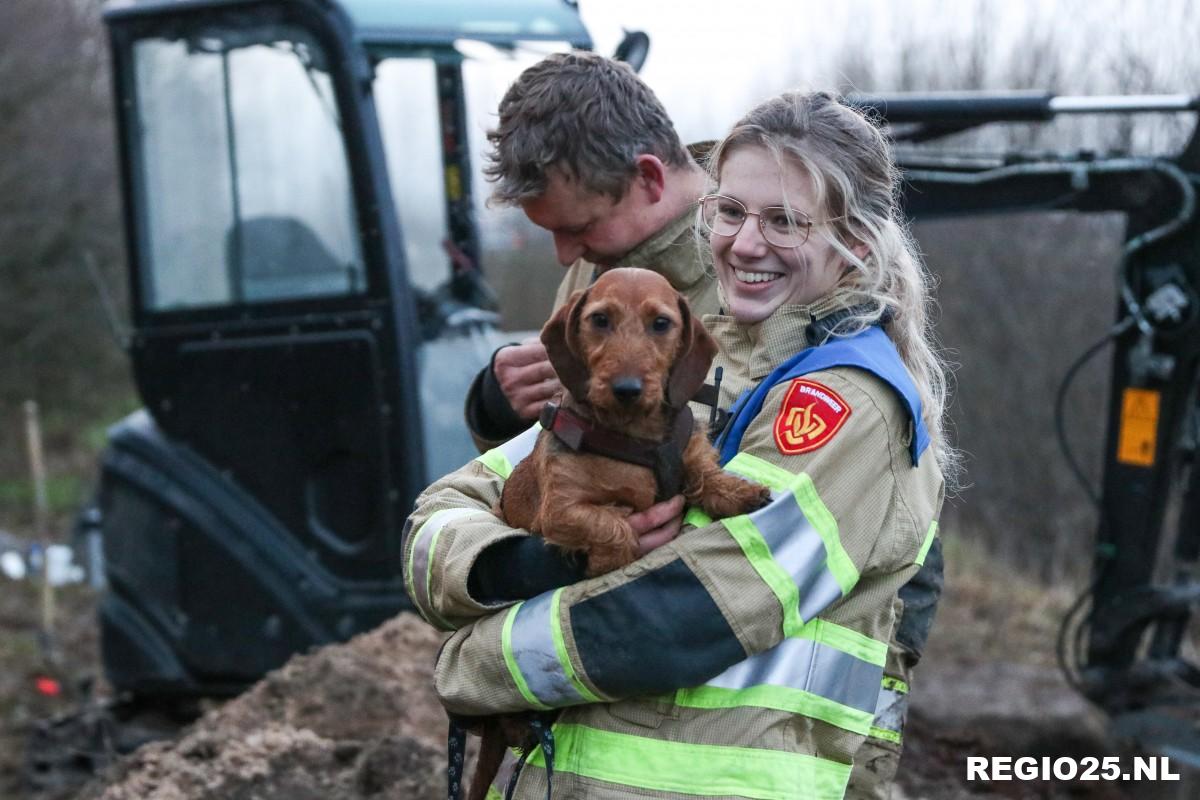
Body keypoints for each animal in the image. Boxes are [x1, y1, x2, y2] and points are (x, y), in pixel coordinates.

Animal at [460, 267, 768, 800]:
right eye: (599, 319)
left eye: (661, 323)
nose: (626, 387)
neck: (633, 438)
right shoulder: (563, 510)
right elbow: (614, 526)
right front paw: (609, 561)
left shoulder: (687, 456)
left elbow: (705, 474)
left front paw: (740, 492)